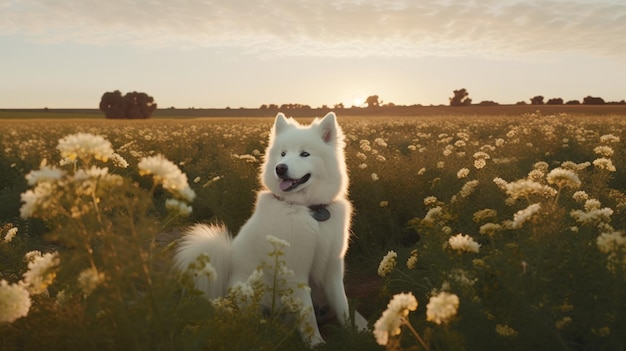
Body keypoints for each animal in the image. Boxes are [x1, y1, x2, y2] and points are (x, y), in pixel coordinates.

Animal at [173, 113, 366, 346]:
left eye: (304, 154)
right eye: (283, 153)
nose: (280, 168)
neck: (307, 209)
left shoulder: (332, 268)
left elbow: (342, 304)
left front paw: (354, 333)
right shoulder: (295, 271)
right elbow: (307, 313)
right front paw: (315, 342)